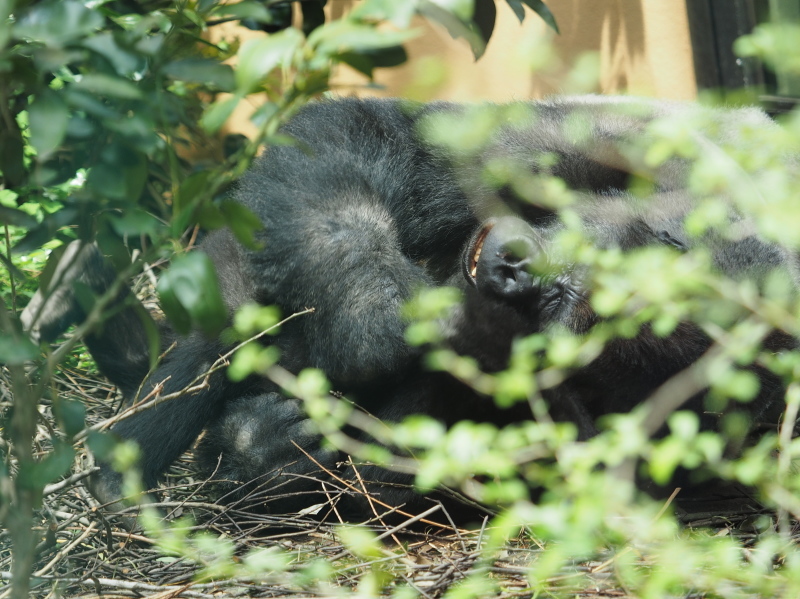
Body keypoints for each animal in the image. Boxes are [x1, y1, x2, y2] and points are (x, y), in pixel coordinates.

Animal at [21, 96, 796, 524]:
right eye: (592, 256)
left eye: (565, 306)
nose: (516, 269)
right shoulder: (628, 135)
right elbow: (377, 135)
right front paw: (376, 315)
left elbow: (392, 480)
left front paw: (263, 449)